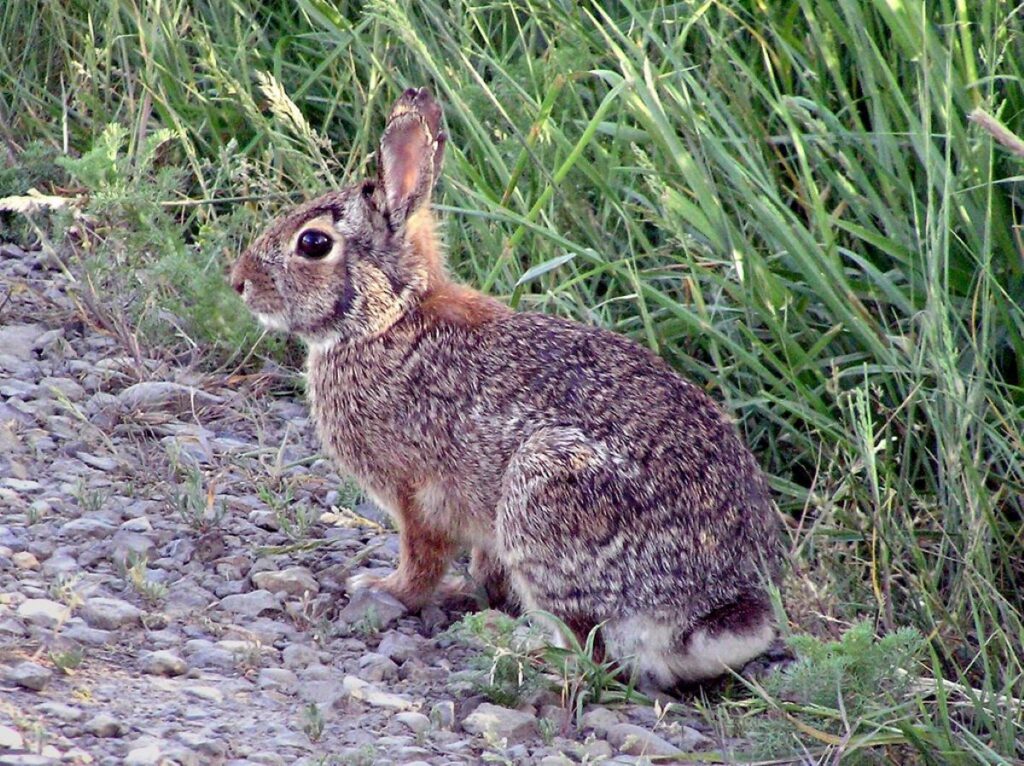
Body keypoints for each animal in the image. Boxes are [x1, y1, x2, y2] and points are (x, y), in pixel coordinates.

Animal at [230, 85, 774, 688]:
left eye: (313, 243)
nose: (239, 282)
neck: (387, 318)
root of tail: (707, 614)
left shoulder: (416, 498)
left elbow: (421, 559)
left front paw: (383, 590)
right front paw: (471, 593)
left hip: (545, 497)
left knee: (590, 649)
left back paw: (520, 649)